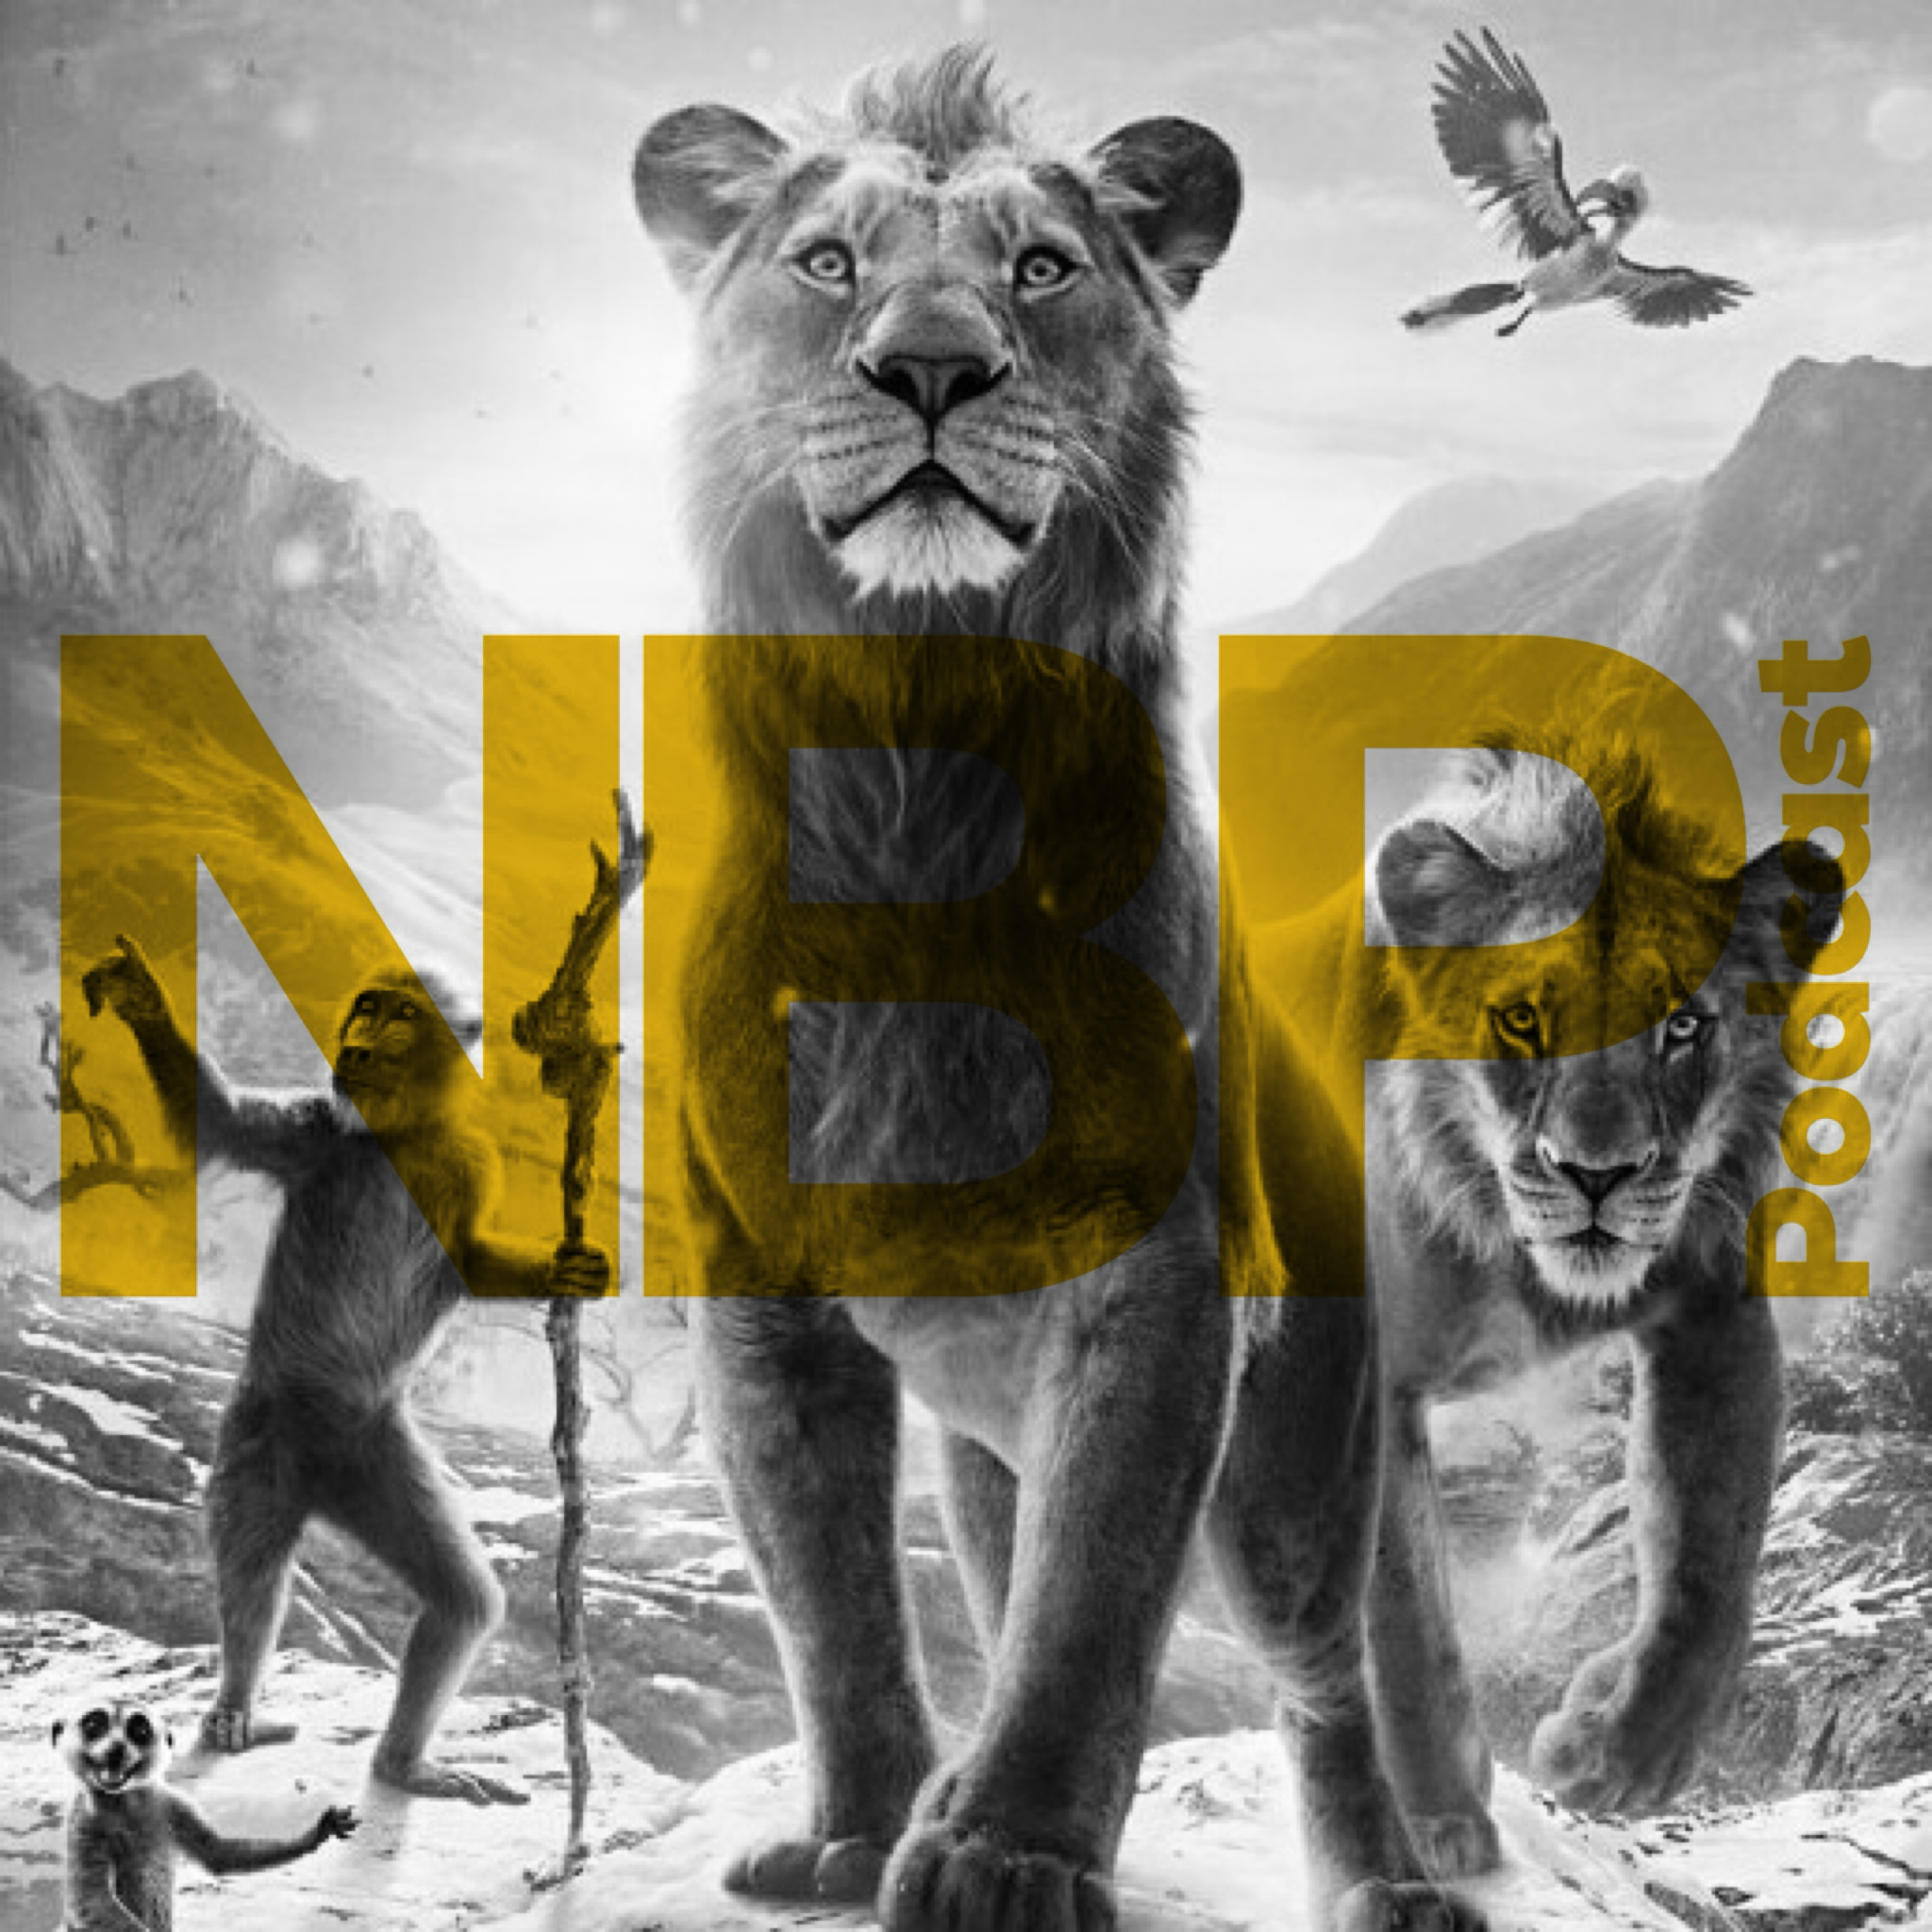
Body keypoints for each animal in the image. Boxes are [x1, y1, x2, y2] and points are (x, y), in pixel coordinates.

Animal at [634, 47, 1483, 1932]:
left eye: (1040, 269)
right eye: (826, 263)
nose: (933, 368)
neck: (915, 764)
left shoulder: (1156, 1286)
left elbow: (1096, 1602)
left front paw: (1009, 1853)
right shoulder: (763, 1297)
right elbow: (830, 1604)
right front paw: (865, 1824)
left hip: (1299, 1462)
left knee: (1322, 1676)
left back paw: (1385, 1881)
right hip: (982, 1447)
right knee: (996, 1564)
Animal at [1256, 737, 1846, 1875]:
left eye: (1681, 1025)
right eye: (1522, 1018)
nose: (1596, 1174)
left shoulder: (1713, 1312)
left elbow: (1710, 1562)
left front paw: (1620, 1753)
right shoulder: (1373, 1383)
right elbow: (1408, 1619)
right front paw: (1438, 1813)